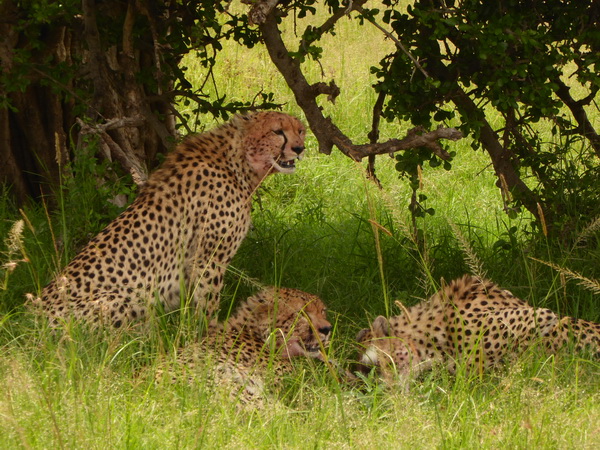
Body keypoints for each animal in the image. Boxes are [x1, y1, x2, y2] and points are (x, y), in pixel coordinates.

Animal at [30, 110, 308, 326]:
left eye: (300, 130)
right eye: (277, 132)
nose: (299, 148)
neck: (238, 163)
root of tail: (30, 319)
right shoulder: (208, 258)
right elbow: (207, 303)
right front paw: (208, 336)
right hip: (126, 298)